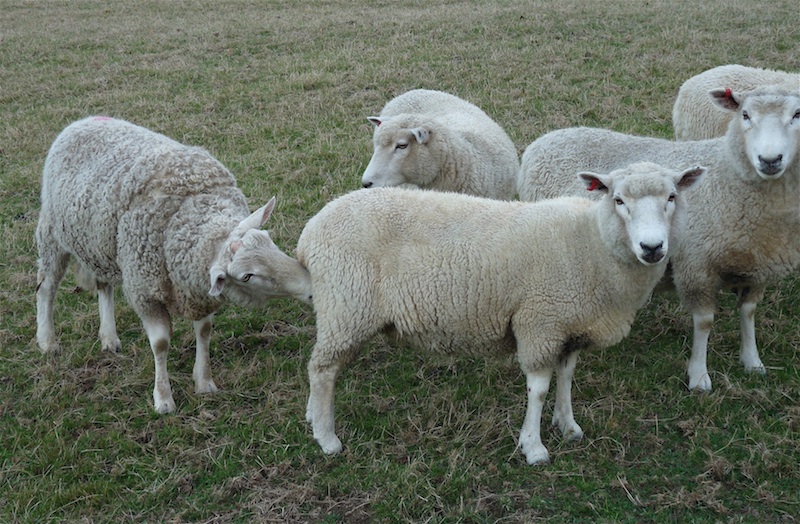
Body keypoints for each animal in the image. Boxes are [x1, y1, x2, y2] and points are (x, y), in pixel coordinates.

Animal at [36, 116, 313, 414]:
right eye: (247, 276)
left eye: (270, 240)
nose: (311, 288)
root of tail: (83, 120)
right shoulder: (145, 292)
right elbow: (160, 343)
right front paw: (163, 398)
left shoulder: (196, 287)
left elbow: (204, 331)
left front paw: (204, 381)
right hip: (52, 233)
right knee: (46, 287)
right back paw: (47, 341)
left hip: (100, 245)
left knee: (103, 286)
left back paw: (109, 337)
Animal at [296, 162, 704, 464]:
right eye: (618, 200)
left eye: (672, 196)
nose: (652, 247)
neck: (591, 243)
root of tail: (311, 231)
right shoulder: (539, 322)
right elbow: (538, 389)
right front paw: (534, 446)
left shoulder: (569, 326)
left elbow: (567, 377)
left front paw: (568, 425)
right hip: (347, 305)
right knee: (323, 369)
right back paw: (327, 437)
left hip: (343, 308)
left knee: (320, 368)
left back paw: (312, 417)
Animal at [518, 86, 800, 392]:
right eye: (745, 115)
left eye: (797, 114)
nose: (770, 160)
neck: (727, 176)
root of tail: (545, 139)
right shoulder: (697, 266)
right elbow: (704, 323)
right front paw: (699, 376)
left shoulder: (758, 265)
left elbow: (748, 312)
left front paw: (752, 361)